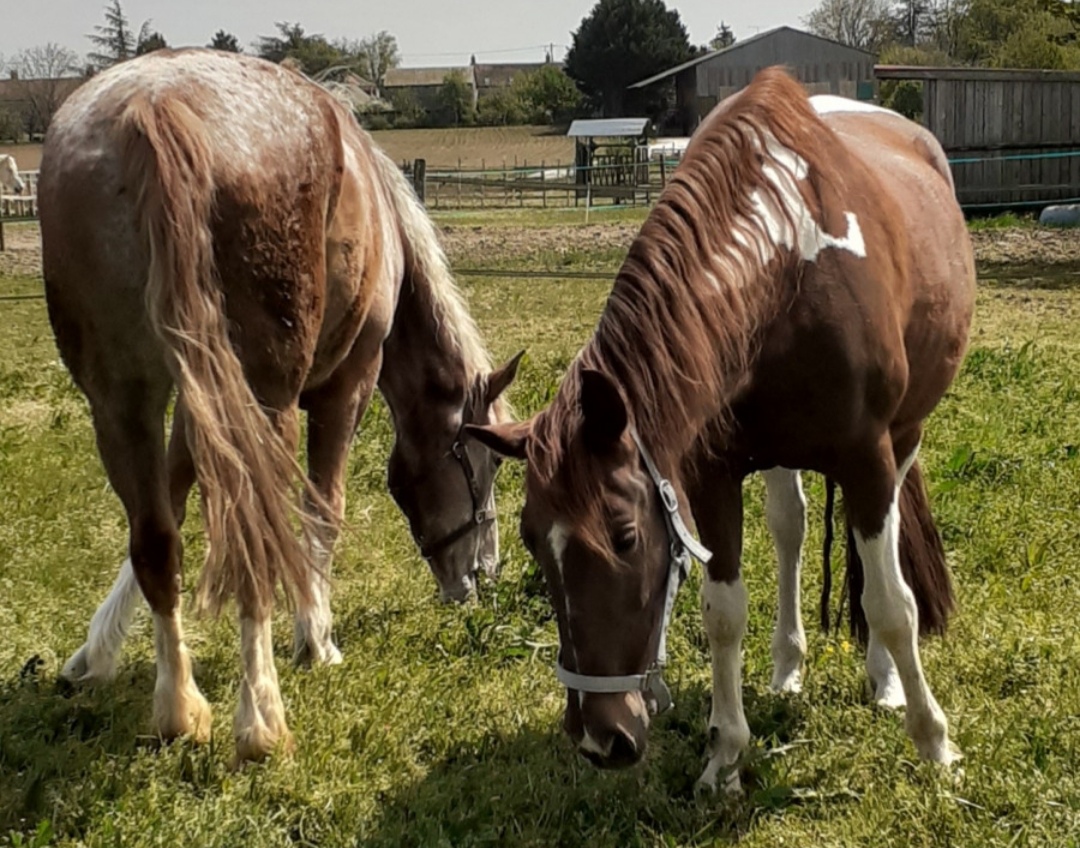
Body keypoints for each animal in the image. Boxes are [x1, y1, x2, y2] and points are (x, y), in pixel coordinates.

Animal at [38, 48, 518, 764]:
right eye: (484, 467)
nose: (482, 576)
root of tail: (152, 107)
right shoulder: (346, 384)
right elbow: (324, 508)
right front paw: (315, 637)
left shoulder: (199, 398)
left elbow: (172, 499)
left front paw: (95, 651)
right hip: (267, 400)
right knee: (256, 537)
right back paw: (259, 717)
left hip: (121, 396)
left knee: (156, 538)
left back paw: (178, 709)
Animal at [467, 68, 975, 791]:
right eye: (532, 542)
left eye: (624, 538)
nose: (600, 740)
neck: (789, 257)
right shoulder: (711, 474)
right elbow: (723, 612)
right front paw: (725, 754)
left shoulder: (867, 457)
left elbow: (890, 603)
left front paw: (933, 741)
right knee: (791, 528)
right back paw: (788, 666)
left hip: (902, 439)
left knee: (877, 554)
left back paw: (885, 680)